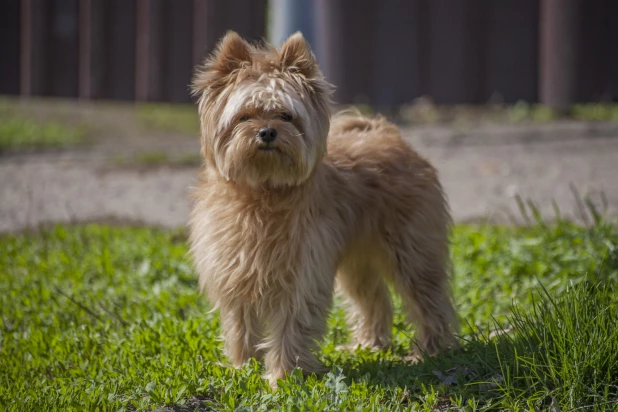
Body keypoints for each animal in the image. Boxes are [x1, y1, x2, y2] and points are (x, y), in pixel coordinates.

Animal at [188, 31, 458, 386]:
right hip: (358, 265)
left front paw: (283, 376)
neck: (262, 192)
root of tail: (387, 132)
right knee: (374, 299)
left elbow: (292, 325)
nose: (267, 132)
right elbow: (240, 326)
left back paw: (429, 350)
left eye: (286, 116)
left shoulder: (302, 275)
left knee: (429, 299)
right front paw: (241, 366)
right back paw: (368, 344)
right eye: (244, 116)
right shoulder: (235, 273)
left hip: (412, 253)